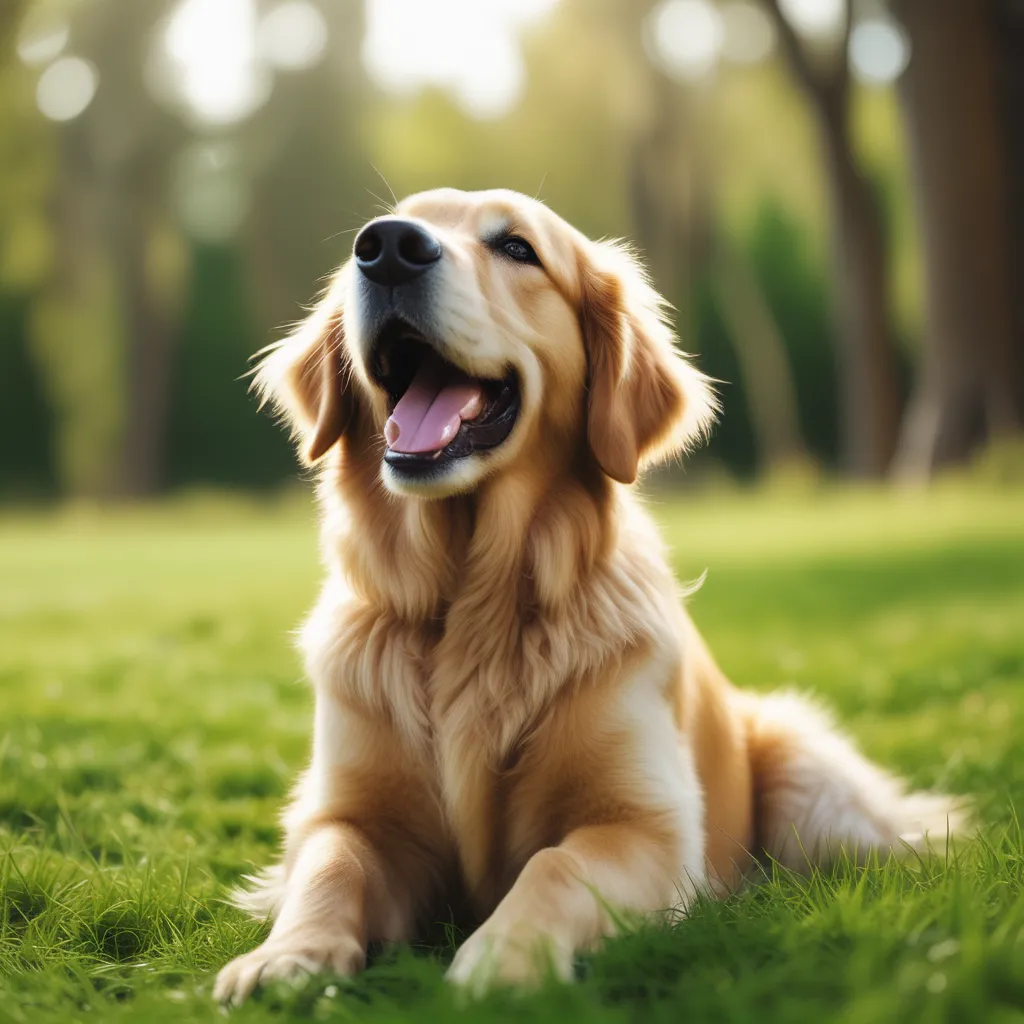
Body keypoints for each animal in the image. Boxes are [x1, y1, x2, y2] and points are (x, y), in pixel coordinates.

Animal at [214, 188, 958, 1003]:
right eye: (383, 231)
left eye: (517, 248)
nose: (386, 249)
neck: (472, 604)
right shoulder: (345, 810)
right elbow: (330, 865)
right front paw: (289, 957)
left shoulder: (645, 825)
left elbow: (555, 866)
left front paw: (502, 955)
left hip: (808, 778)